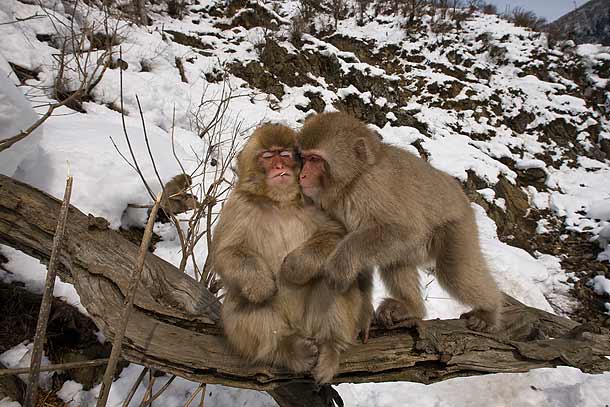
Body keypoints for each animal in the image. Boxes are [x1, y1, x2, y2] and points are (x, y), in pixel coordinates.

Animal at [211, 122, 368, 384]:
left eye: (284, 154)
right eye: (267, 156)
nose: (279, 167)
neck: (280, 202)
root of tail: (298, 328)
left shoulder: (316, 202)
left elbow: (337, 234)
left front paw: (294, 267)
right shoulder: (238, 205)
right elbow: (226, 252)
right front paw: (262, 284)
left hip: (311, 322)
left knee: (330, 276)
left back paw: (330, 346)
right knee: (242, 299)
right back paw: (286, 348)